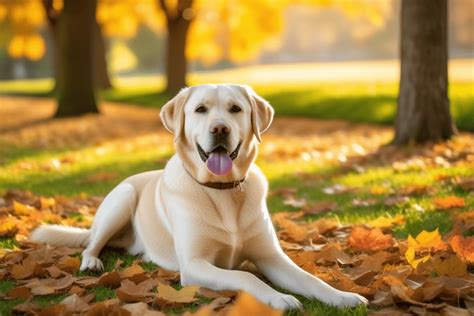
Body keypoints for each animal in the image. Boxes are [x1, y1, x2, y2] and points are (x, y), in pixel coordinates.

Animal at [31, 83, 366, 308]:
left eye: (235, 109)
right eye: (200, 110)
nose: (219, 129)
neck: (223, 190)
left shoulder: (271, 257)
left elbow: (309, 278)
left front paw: (342, 296)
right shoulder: (194, 265)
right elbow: (246, 277)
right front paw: (279, 299)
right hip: (122, 198)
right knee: (91, 244)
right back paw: (91, 262)